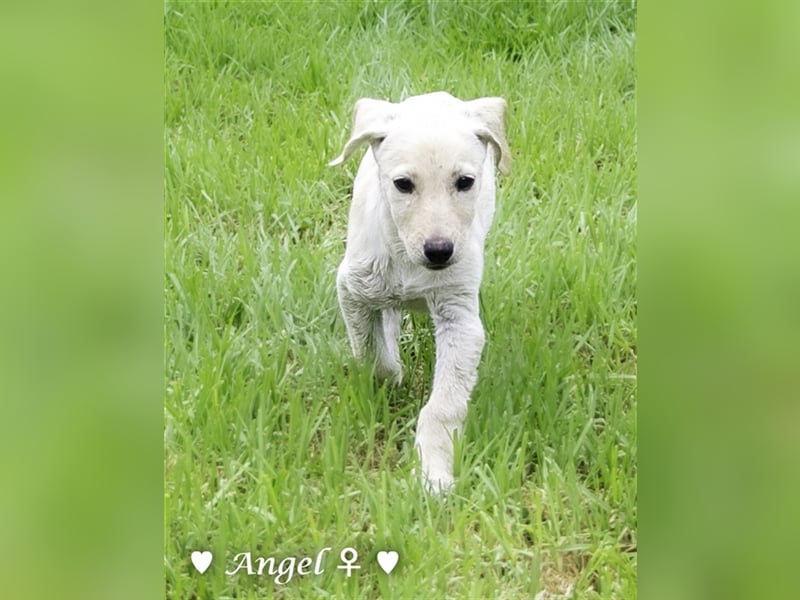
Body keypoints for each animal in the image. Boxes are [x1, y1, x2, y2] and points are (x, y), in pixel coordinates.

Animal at [328, 90, 510, 492]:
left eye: (465, 182)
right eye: (403, 184)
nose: (439, 250)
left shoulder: (460, 319)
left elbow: (442, 407)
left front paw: (433, 474)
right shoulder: (352, 289)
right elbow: (373, 356)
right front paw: (391, 376)